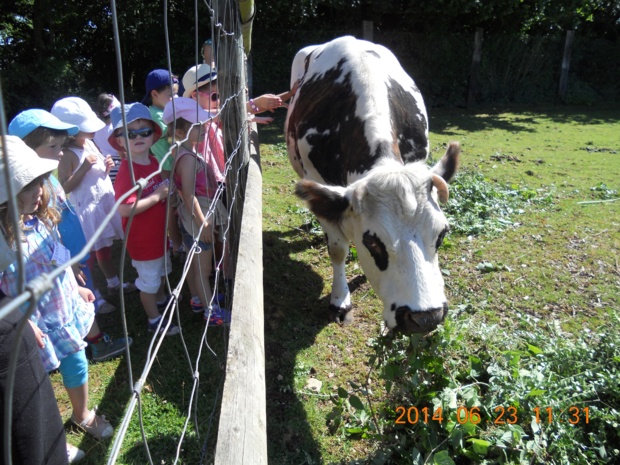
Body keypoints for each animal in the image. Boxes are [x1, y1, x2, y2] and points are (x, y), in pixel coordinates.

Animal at [286, 37, 460, 334]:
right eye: (372, 242)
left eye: (442, 234)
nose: (426, 318)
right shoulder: (318, 181)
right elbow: (338, 249)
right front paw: (340, 301)